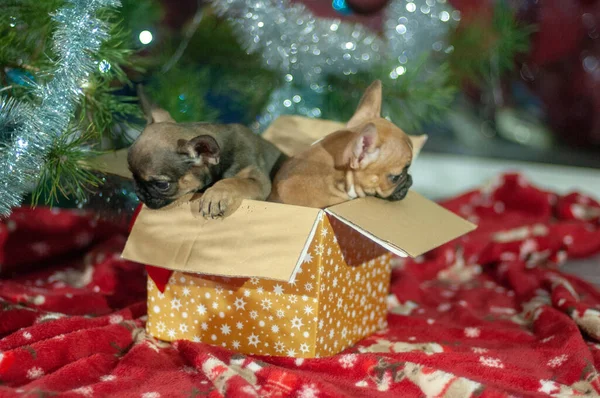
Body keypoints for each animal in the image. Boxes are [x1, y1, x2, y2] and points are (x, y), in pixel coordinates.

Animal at [127, 97, 286, 219]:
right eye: (132, 175)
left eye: (162, 185)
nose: (140, 193)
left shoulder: (257, 180)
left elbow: (233, 181)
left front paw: (215, 195)